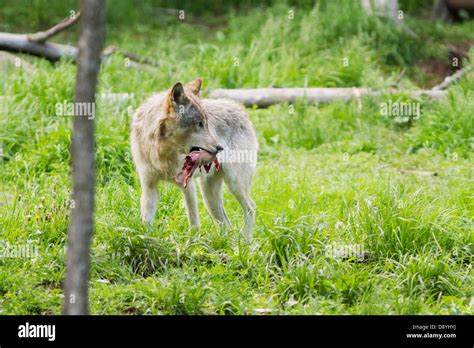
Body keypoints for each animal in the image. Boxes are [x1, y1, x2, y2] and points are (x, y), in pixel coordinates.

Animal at [131, 79, 260, 241]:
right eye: (199, 123)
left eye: (206, 123)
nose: (220, 147)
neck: (162, 152)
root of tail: (239, 108)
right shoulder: (149, 187)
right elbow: (146, 221)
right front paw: (145, 240)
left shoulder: (187, 185)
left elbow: (194, 223)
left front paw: (192, 243)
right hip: (208, 195)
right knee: (226, 223)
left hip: (234, 184)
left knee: (250, 207)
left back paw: (245, 241)